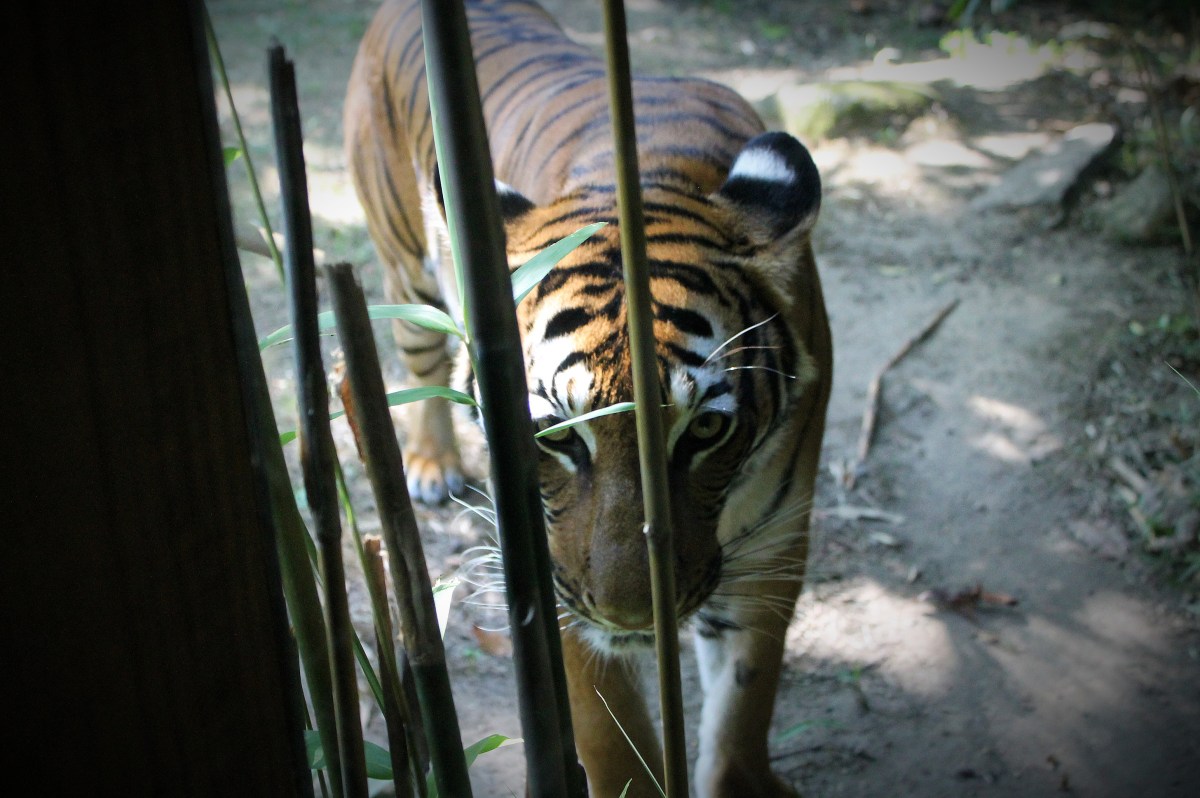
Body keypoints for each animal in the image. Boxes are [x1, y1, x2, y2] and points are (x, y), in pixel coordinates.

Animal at [344, 1, 832, 795]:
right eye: (556, 436)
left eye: (705, 432)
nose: (633, 617)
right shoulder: (551, 572)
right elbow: (613, 741)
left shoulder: (773, 548)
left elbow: (742, 710)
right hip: (403, 266)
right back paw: (429, 464)